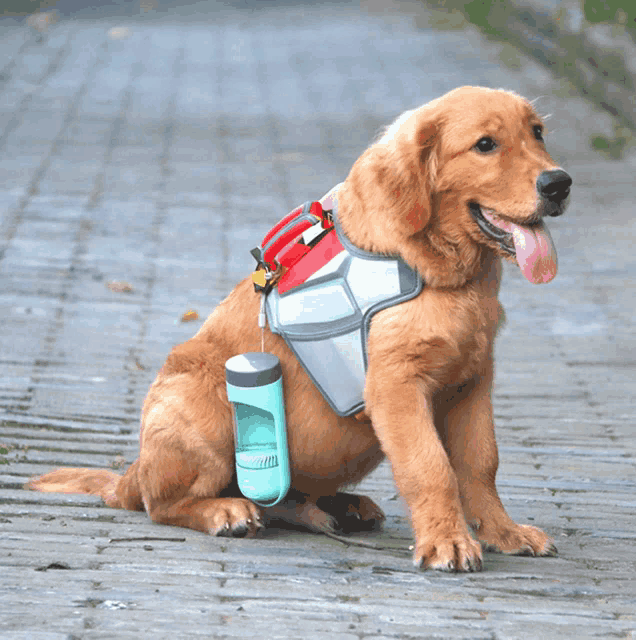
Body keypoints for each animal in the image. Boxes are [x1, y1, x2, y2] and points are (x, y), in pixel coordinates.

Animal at [28, 87, 572, 572]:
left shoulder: (472, 380)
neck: (447, 272)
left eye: (538, 133)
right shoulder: (397, 385)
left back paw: (339, 508)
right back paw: (226, 511)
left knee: (284, 500)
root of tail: (132, 473)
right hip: (204, 407)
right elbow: (431, 466)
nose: (559, 183)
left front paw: (504, 533)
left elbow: (481, 464)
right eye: (485, 144)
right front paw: (449, 542)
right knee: (162, 504)